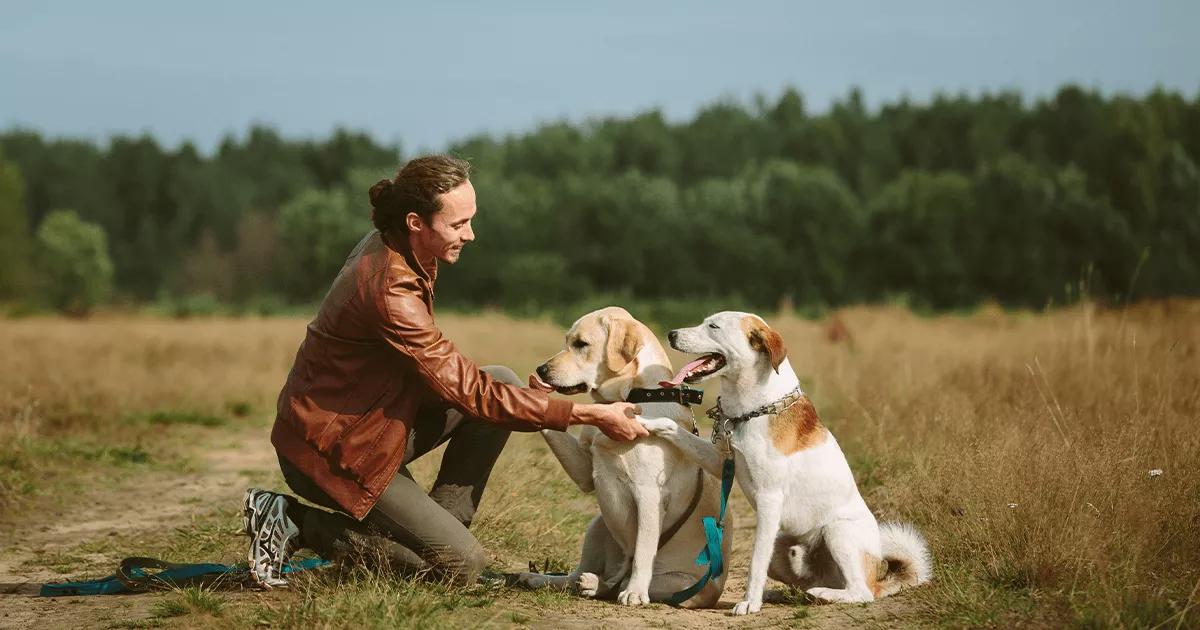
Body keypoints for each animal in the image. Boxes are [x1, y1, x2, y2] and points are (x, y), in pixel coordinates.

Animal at [516, 307, 729, 607]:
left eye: (581, 344)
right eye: (567, 340)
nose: (541, 370)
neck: (632, 396)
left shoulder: (649, 494)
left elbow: (643, 551)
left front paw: (635, 592)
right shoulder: (585, 472)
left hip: (676, 583)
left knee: (622, 579)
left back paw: (606, 584)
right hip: (597, 525)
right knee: (577, 577)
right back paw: (548, 579)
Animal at [638, 309, 926, 614]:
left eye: (713, 326)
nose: (671, 334)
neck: (754, 410)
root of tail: (878, 575)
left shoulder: (768, 499)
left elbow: (755, 563)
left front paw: (749, 604)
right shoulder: (721, 461)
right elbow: (675, 429)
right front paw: (645, 422)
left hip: (837, 532)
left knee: (861, 592)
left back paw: (823, 594)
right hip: (781, 549)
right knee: (805, 582)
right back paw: (789, 594)